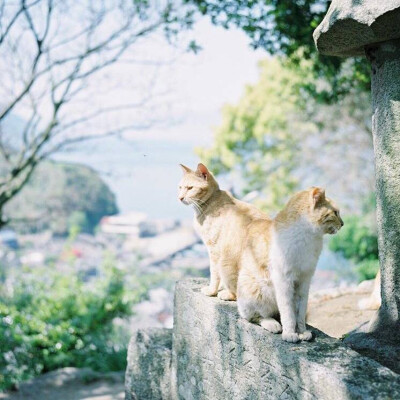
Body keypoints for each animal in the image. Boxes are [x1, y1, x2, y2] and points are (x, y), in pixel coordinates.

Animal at [177, 162, 266, 300]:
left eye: (190, 188)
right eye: (180, 187)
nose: (180, 197)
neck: (209, 202)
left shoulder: (214, 250)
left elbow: (214, 273)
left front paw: (212, 290)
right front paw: (219, 287)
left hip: (225, 262)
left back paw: (227, 294)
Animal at [238, 187, 344, 340]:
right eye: (335, 213)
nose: (343, 224)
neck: (308, 237)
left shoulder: (305, 279)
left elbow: (300, 312)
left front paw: (301, 332)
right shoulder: (284, 280)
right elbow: (288, 312)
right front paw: (289, 333)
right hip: (254, 290)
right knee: (256, 316)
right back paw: (273, 324)